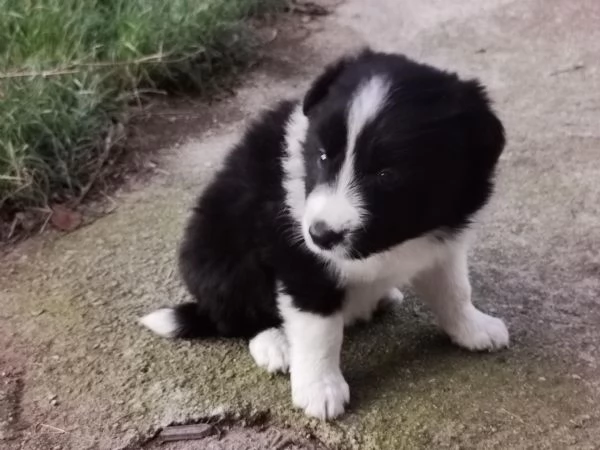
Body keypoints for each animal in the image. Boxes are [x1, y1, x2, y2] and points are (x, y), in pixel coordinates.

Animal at [139, 50, 506, 422]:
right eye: (323, 156)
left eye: (387, 175)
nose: (320, 235)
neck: (393, 240)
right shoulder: (300, 258)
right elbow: (319, 330)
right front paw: (320, 389)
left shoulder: (442, 241)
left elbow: (454, 289)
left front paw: (473, 327)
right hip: (220, 251)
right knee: (236, 315)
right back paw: (273, 343)